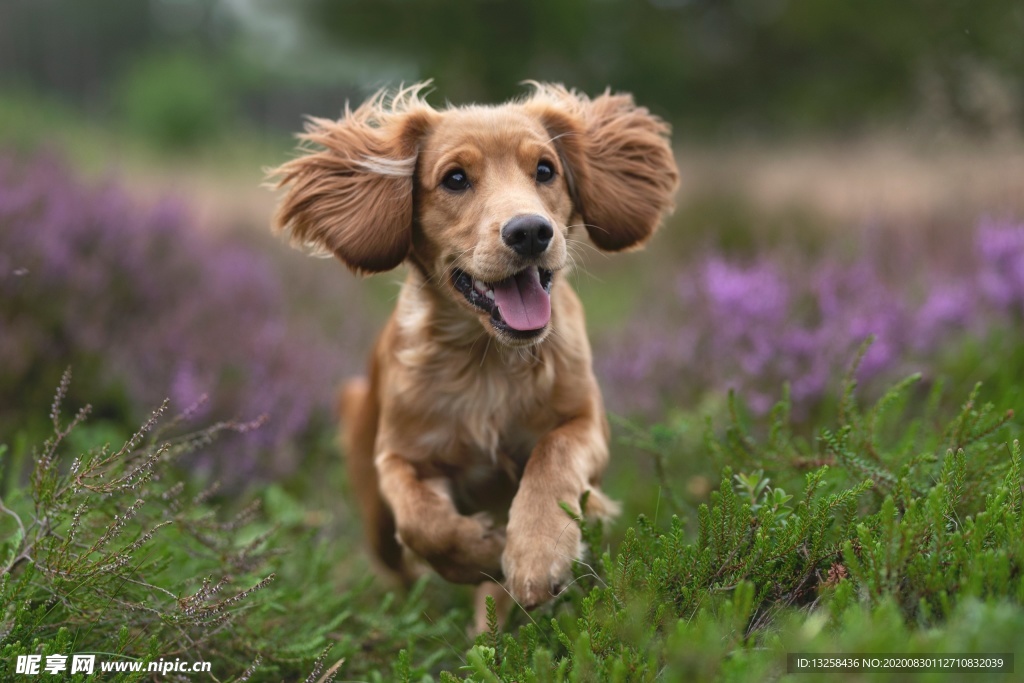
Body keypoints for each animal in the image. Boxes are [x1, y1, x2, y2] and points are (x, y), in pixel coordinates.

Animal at [270, 81, 679, 618]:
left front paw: (537, 553)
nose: (530, 231)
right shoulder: (399, 456)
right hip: (371, 505)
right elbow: (423, 523)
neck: (488, 362)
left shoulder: (585, 421)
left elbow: (553, 459)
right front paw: (483, 551)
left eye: (545, 170)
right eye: (455, 179)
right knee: (393, 556)